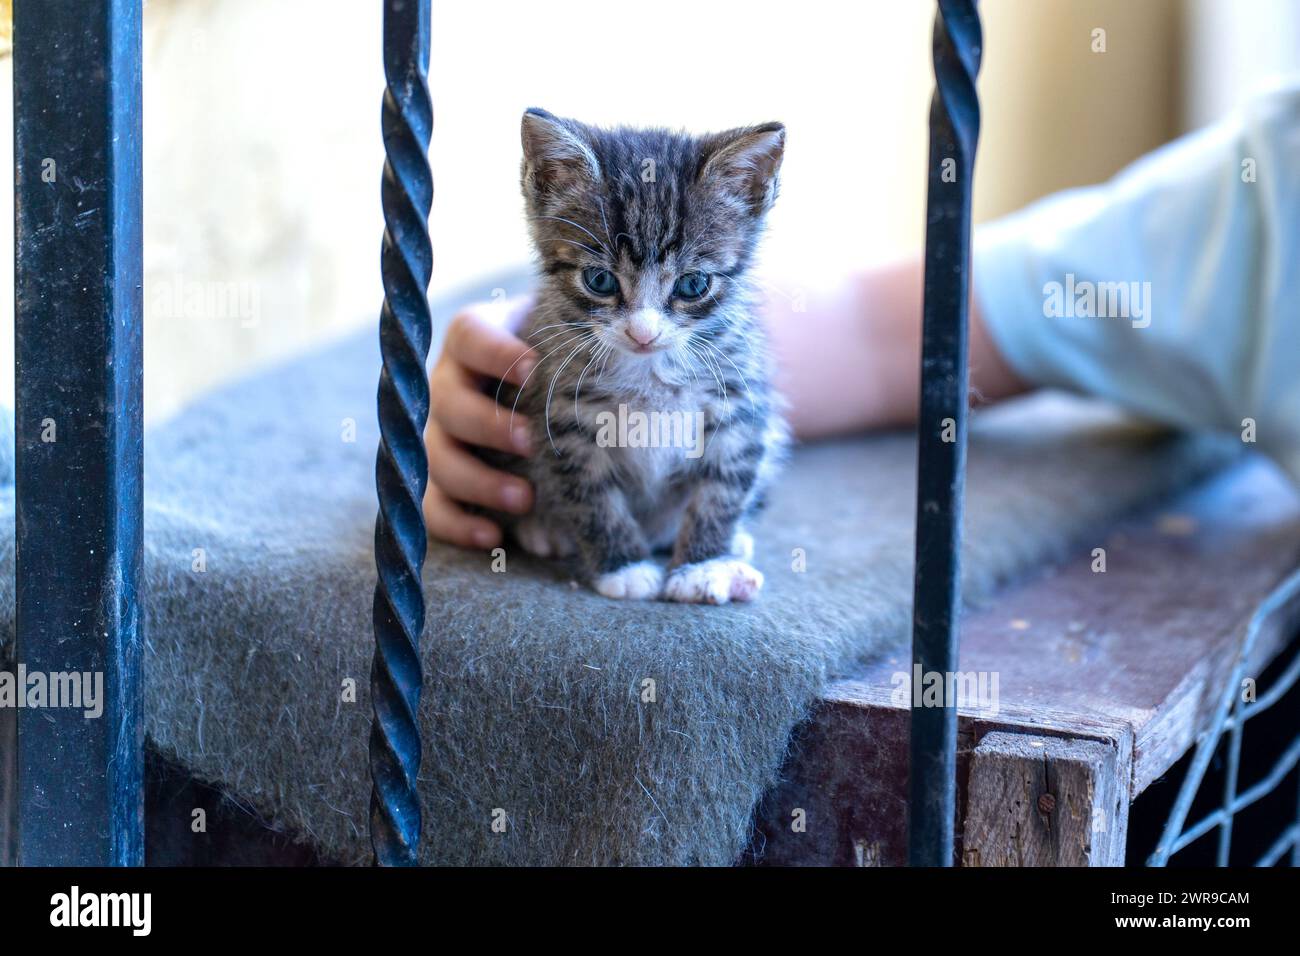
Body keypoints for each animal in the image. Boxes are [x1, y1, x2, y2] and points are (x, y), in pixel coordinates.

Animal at [488, 110, 790, 606]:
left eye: (693, 285)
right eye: (599, 280)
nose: (642, 333)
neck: (651, 371)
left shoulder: (738, 403)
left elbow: (723, 489)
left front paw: (704, 564)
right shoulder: (562, 414)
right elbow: (591, 495)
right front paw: (623, 566)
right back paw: (544, 529)